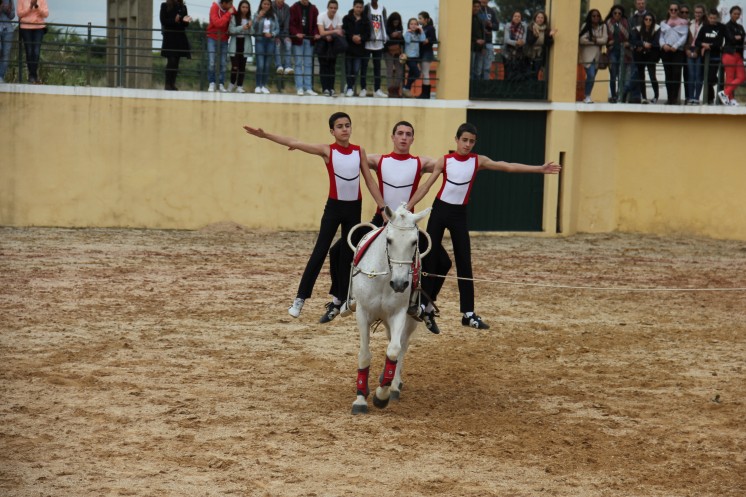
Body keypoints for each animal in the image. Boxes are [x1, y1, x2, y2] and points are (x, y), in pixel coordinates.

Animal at [344, 203, 430, 412]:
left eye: (414, 242)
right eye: (389, 240)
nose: (399, 284)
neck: (384, 280)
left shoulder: (399, 314)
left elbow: (393, 351)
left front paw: (381, 395)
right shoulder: (362, 313)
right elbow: (364, 354)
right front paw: (360, 398)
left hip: (408, 320)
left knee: (401, 346)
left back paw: (393, 386)